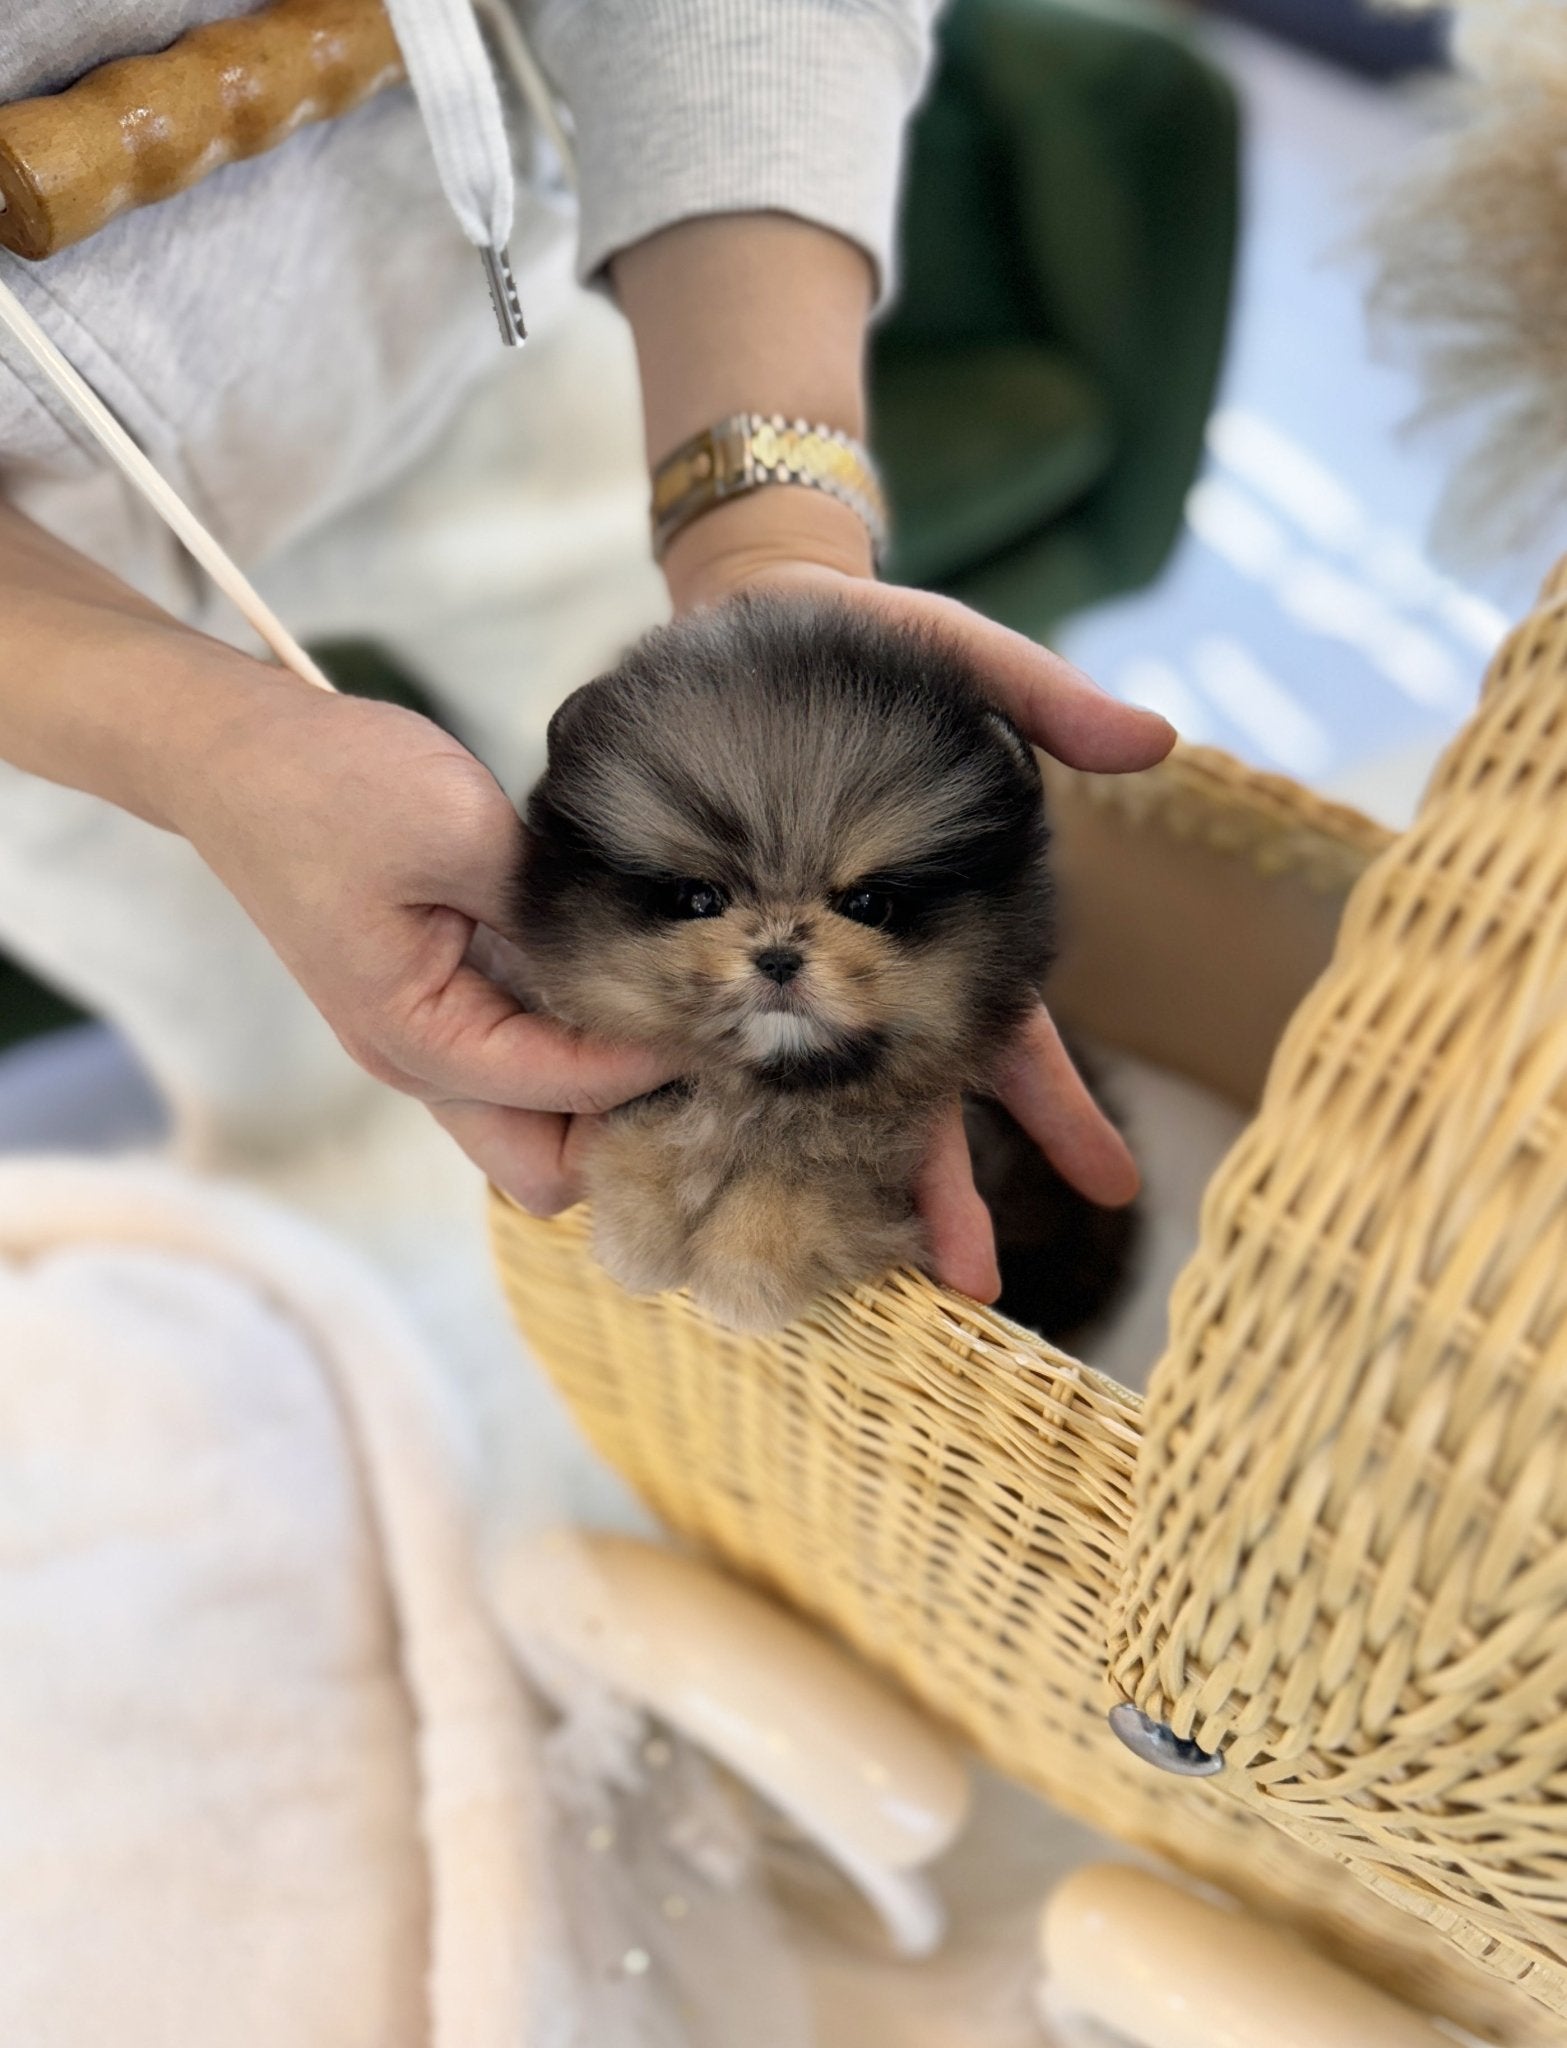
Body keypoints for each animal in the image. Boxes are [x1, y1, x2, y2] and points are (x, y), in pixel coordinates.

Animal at [520, 589, 1130, 1343]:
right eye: (698, 899)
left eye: (867, 904)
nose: (779, 956)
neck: (774, 1092)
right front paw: (641, 1228)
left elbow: (818, 1173)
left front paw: (747, 1267)